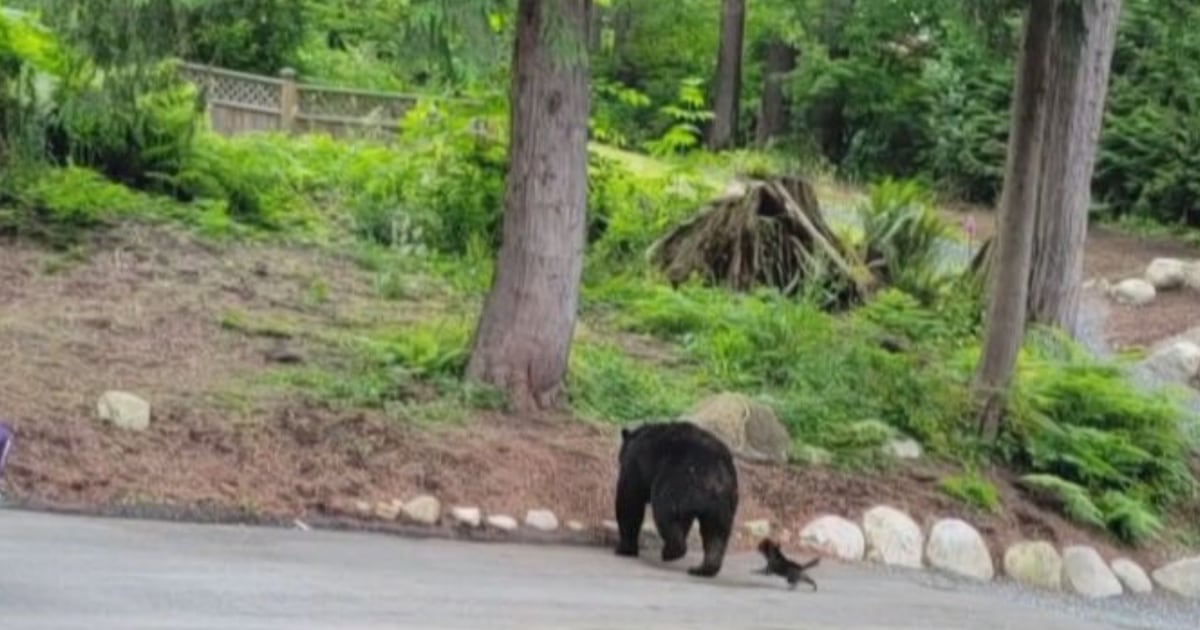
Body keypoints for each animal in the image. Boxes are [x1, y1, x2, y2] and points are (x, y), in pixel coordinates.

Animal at [613, 421, 739, 577]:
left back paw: (671, 551)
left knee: (665, 512)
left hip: (676, 478)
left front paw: (624, 548)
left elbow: (629, 502)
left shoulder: (634, 466)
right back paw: (703, 568)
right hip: (724, 501)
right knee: (716, 532)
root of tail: (715, 473)